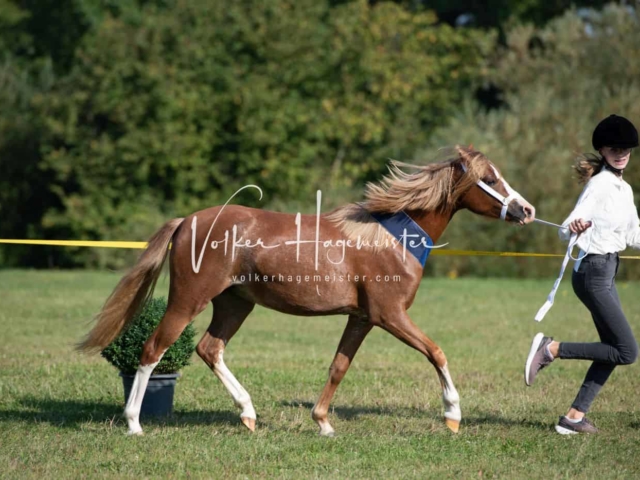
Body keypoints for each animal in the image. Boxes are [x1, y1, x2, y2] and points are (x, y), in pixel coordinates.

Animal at [79, 145, 536, 436]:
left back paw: (248, 414)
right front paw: (453, 415)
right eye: (490, 178)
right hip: (188, 300)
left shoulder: (362, 318)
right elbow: (437, 352)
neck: (390, 240)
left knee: (209, 349)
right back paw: (134, 424)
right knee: (153, 350)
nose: (526, 210)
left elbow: (338, 367)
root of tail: (187, 220)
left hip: (234, 304)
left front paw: (323, 422)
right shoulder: (390, 315)